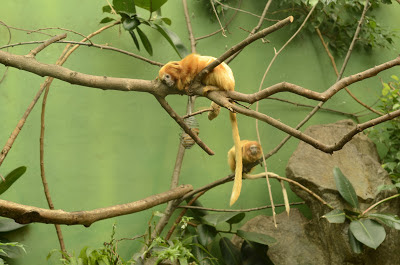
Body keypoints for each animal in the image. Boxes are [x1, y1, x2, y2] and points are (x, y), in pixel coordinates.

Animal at [159, 52, 241, 204]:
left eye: (167, 77)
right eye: (164, 80)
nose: (167, 83)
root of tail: (231, 85)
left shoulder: (193, 64)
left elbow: (203, 64)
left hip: (224, 80)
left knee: (217, 72)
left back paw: (216, 89)